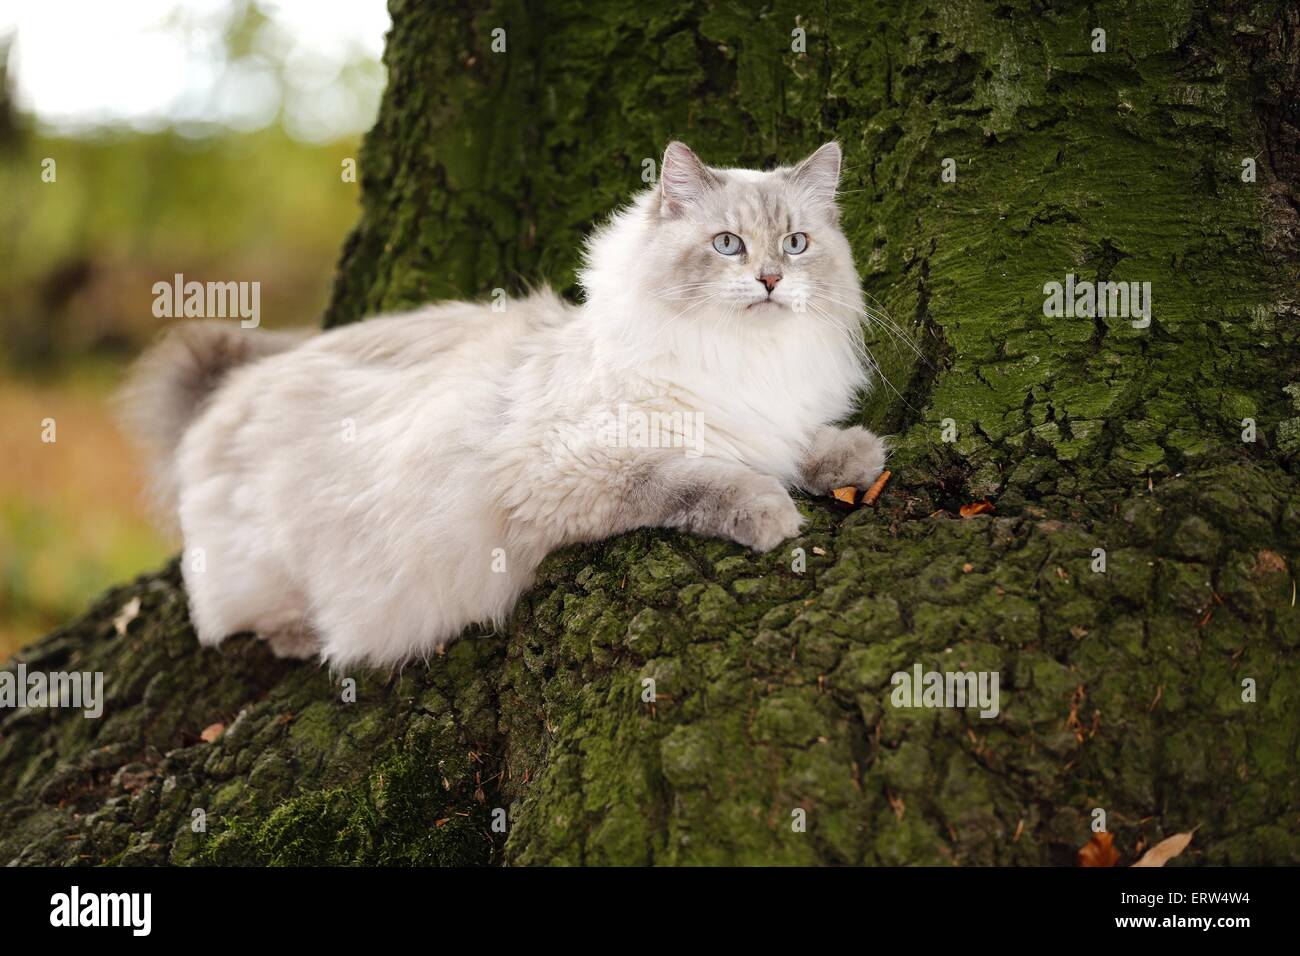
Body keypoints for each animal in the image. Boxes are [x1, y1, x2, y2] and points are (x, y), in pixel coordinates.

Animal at [122, 141, 889, 671]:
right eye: (728, 244)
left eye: (795, 244)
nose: (770, 279)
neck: (742, 361)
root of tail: (230, 386)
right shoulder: (571, 472)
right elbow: (699, 477)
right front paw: (771, 514)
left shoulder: (771, 420)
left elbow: (802, 445)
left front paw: (856, 459)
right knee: (227, 617)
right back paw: (301, 636)